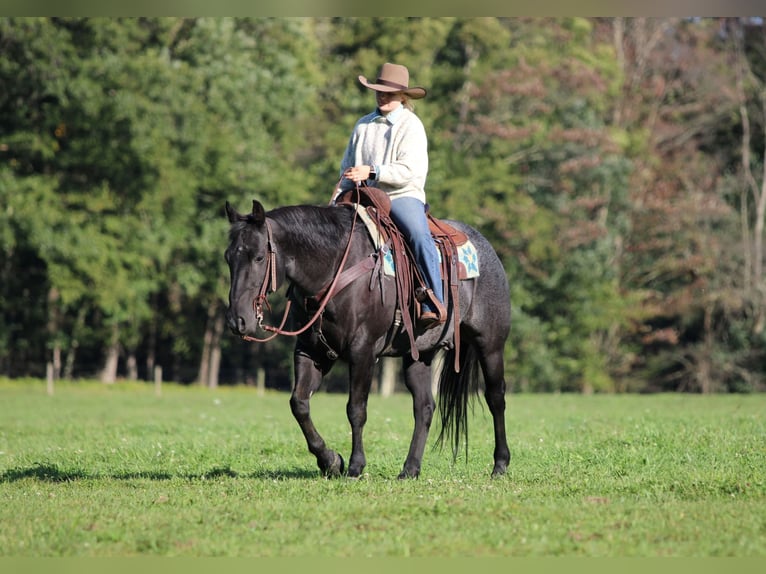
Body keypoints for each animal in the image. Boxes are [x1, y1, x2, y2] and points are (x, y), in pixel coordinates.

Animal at [224, 197, 511, 479]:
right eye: (228, 258)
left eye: (259, 257)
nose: (237, 320)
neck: (335, 269)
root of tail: (486, 248)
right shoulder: (310, 351)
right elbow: (299, 404)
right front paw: (330, 461)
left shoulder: (363, 352)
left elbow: (356, 409)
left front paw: (355, 465)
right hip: (419, 355)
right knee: (425, 407)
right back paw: (410, 469)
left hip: (490, 345)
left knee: (495, 397)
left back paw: (500, 465)